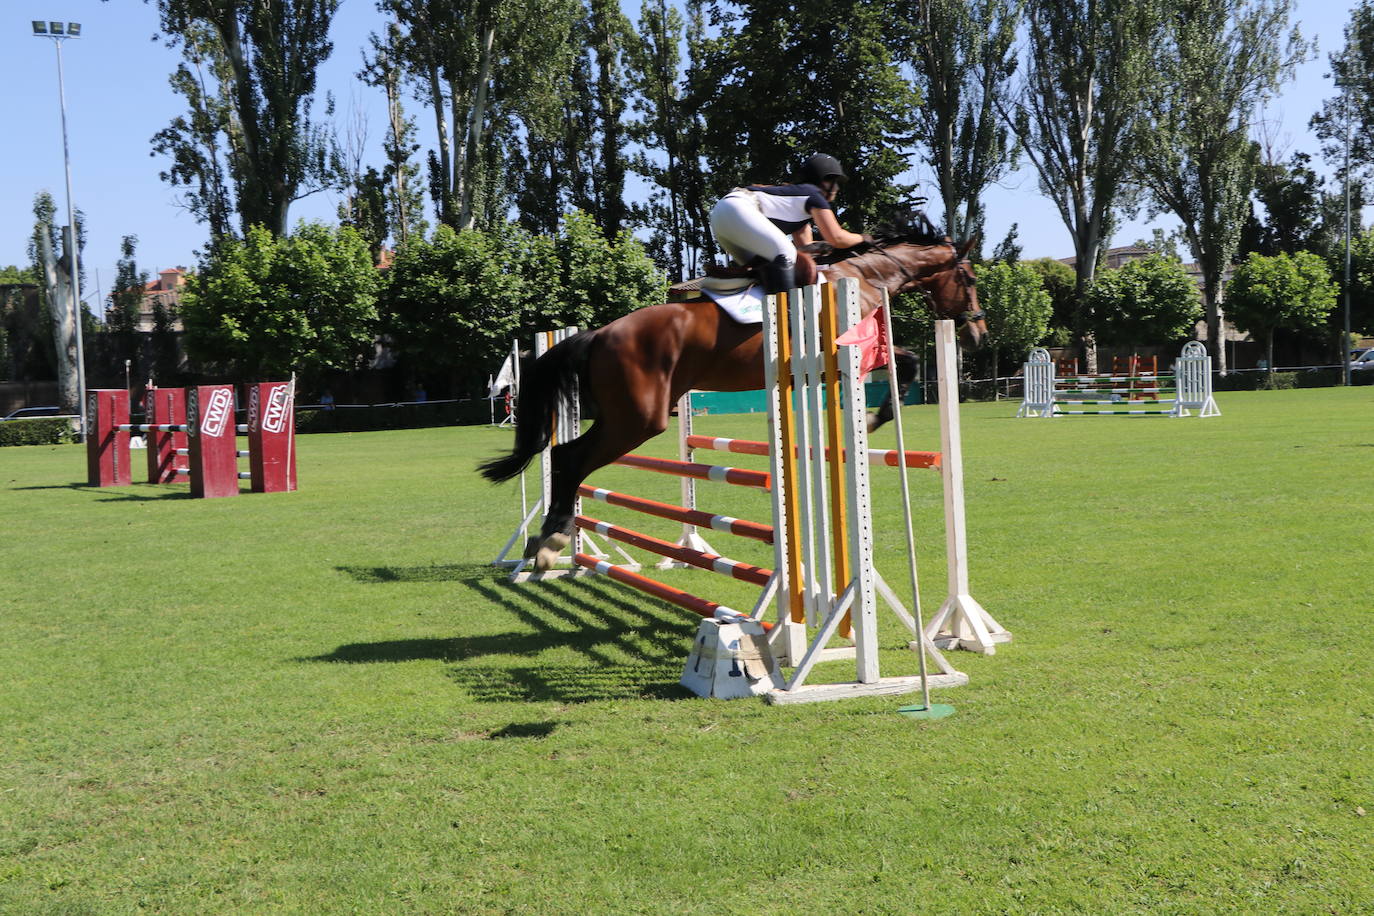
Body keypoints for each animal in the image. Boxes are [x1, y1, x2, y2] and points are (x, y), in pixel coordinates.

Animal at [483, 230, 989, 574]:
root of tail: (601, 333)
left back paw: (548, 541)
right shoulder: (851, 350)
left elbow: (904, 363)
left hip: (623, 414)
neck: (861, 277)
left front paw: (872, 415)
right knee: (572, 457)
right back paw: (552, 540)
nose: (977, 334)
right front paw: (872, 417)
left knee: (565, 454)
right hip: (640, 418)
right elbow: (905, 364)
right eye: (968, 276)